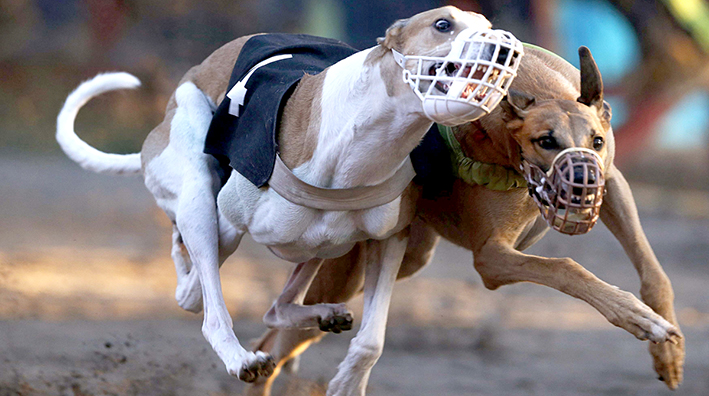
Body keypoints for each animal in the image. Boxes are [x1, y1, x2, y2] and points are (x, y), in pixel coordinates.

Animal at [246, 44, 684, 392]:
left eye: (596, 140)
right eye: (545, 141)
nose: (581, 186)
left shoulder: (612, 182)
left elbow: (654, 273)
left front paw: (666, 348)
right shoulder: (492, 259)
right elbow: (566, 267)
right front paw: (637, 318)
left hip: (406, 257)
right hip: (344, 275)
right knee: (269, 344)